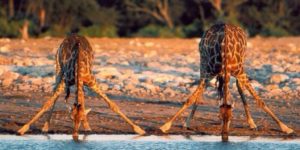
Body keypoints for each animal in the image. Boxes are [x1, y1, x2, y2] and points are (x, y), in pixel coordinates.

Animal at [17, 34, 146, 141]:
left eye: (81, 118)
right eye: (70, 118)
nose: (75, 135)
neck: (78, 65)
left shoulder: (91, 81)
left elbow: (112, 105)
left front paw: (139, 130)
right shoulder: (65, 81)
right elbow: (48, 103)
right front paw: (23, 129)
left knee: (80, 98)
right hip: (58, 68)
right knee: (55, 94)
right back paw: (46, 126)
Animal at [159, 23, 292, 142]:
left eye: (231, 117)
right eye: (219, 116)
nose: (224, 137)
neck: (226, 52)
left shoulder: (240, 72)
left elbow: (259, 100)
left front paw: (285, 128)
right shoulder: (208, 74)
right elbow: (190, 98)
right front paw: (165, 126)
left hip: (240, 64)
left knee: (238, 87)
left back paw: (252, 124)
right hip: (203, 64)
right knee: (202, 91)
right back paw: (187, 123)